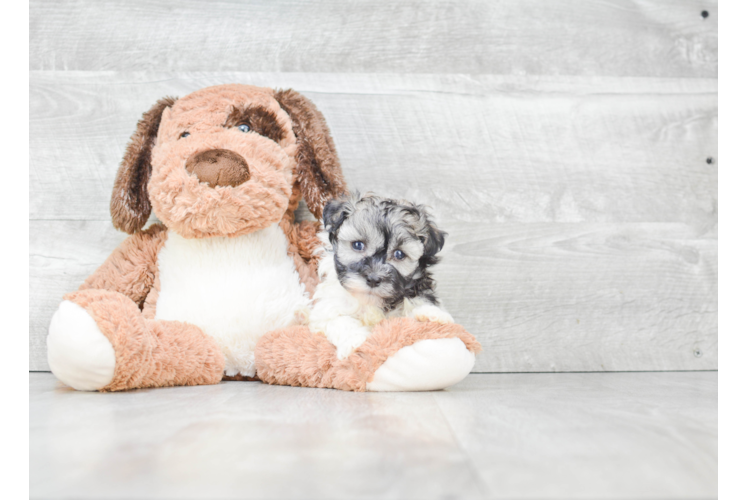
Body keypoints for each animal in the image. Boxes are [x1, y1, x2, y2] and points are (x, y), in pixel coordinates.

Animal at [306, 192, 452, 360]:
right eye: (358, 245)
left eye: (399, 254)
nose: (373, 279)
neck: (372, 303)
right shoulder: (325, 310)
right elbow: (338, 320)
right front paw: (355, 340)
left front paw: (431, 314)